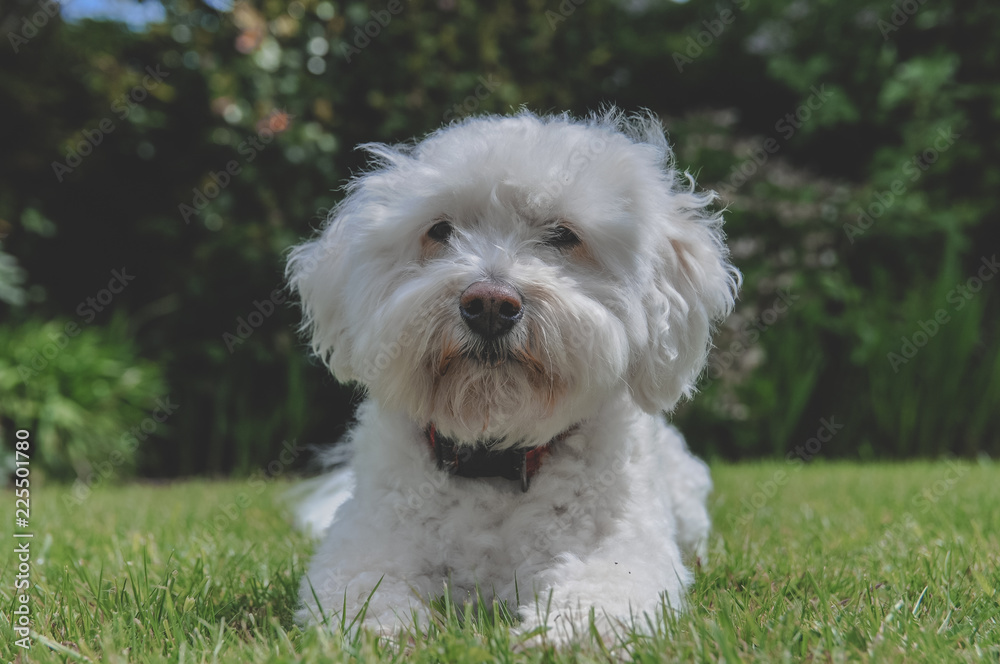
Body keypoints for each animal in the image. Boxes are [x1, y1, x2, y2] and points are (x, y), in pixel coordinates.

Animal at [286, 109, 740, 644]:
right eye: (440, 230)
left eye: (563, 235)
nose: (488, 304)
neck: (495, 452)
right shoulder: (362, 547)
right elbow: (365, 595)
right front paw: (393, 633)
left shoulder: (622, 548)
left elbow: (601, 594)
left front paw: (563, 635)